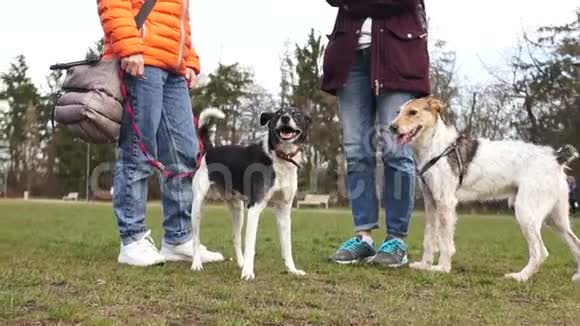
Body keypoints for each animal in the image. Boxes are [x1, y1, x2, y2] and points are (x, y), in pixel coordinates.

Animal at [190, 107, 310, 280]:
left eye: (297, 114)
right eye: (278, 114)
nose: (286, 118)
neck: (279, 157)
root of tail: (211, 150)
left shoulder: (284, 212)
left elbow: (287, 246)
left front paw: (292, 270)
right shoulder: (254, 208)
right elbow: (251, 245)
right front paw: (248, 272)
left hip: (237, 210)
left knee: (235, 237)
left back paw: (240, 263)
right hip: (198, 206)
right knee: (196, 238)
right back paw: (196, 263)